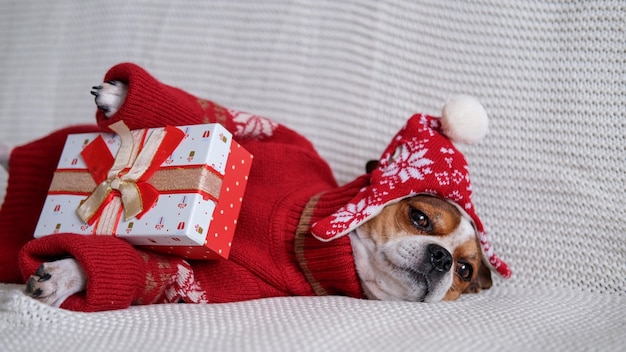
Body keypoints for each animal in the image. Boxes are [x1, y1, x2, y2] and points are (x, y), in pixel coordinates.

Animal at [18, 63, 508, 310]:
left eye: (465, 271)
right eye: (419, 216)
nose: (442, 258)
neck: (300, 229)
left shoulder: (223, 282)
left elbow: (154, 270)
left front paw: (65, 274)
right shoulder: (287, 145)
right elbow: (202, 110)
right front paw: (124, 95)